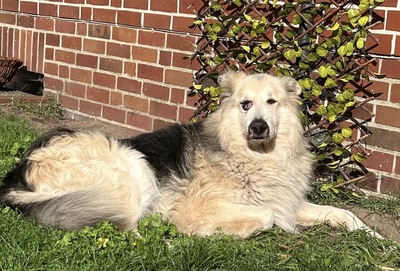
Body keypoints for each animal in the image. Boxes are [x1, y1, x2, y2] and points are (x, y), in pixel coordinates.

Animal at [0, 71, 382, 238]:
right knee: (126, 227)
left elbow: (344, 214)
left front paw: (376, 239)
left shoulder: (286, 201)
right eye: (245, 104)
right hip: (134, 165)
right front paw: (214, 232)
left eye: (272, 102)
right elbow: (265, 217)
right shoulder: (211, 205)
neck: (255, 157)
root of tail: (18, 176)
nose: (258, 127)